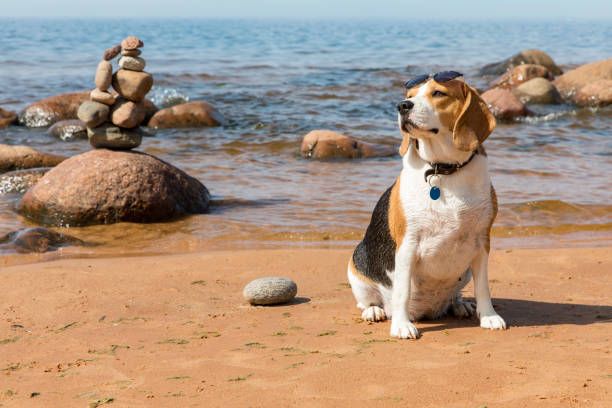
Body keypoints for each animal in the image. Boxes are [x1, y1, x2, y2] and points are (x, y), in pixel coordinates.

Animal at [350, 71, 506, 340]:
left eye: (438, 93)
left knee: (454, 295)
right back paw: (375, 311)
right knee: (368, 301)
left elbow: (483, 286)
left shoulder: (481, 242)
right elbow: (402, 291)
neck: (444, 170)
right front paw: (401, 325)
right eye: (410, 96)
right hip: (356, 266)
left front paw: (488, 316)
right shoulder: (408, 245)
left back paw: (459, 304)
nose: (402, 105)